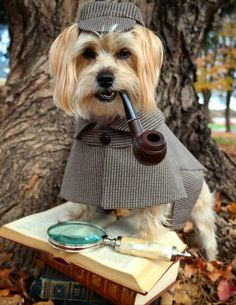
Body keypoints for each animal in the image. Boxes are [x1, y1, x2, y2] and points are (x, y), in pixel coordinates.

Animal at [48, 1, 218, 260]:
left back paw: (210, 256)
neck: (110, 122)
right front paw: (76, 216)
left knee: (207, 231)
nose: (105, 78)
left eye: (124, 53)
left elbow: (152, 212)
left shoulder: (158, 184)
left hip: (200, 204)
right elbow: (83, 199)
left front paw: (148, 240)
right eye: (88, 53)